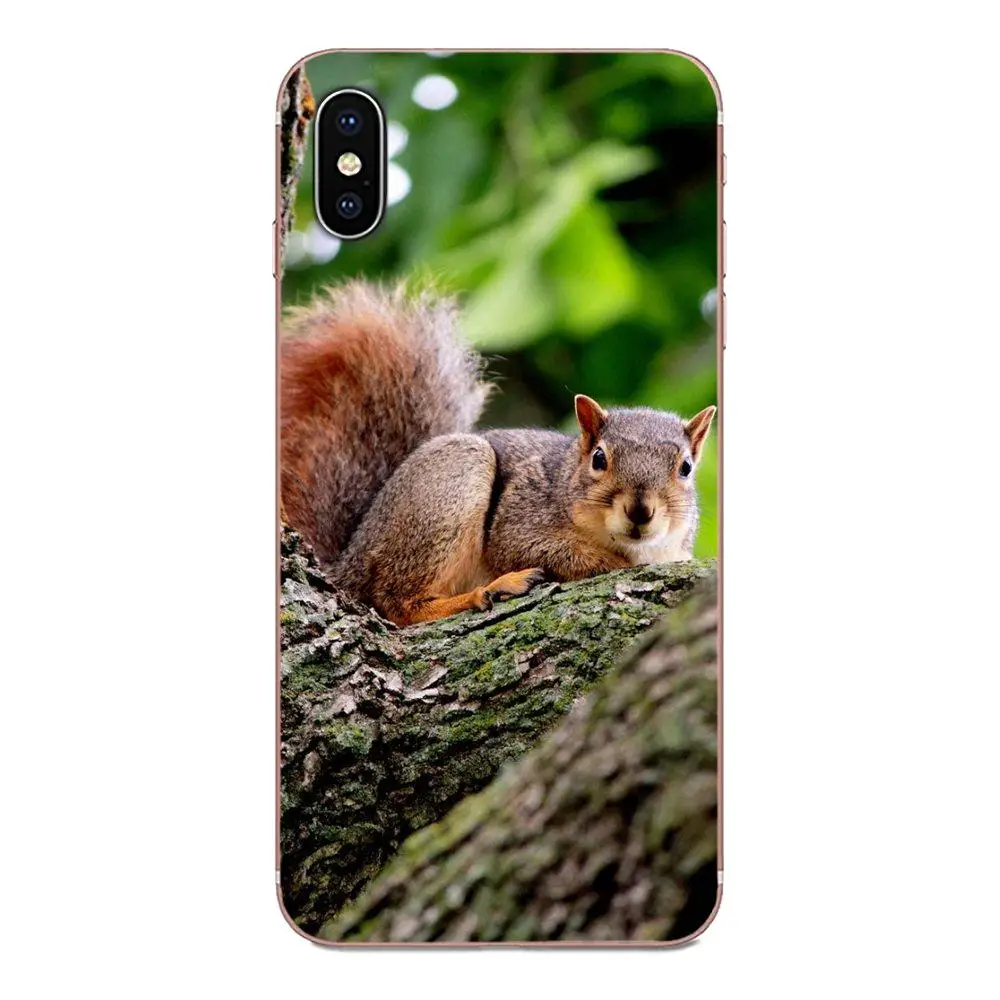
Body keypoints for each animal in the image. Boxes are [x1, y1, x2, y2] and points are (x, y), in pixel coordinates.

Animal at [281, 281, 716, 626]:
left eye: (686, 468)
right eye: (599, 459)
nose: (640, 511)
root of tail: (349, 559)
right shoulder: (520, 518)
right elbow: (537, 549)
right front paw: (621, 564)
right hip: (451, 481)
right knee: (396, 601)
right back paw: (485, 592)